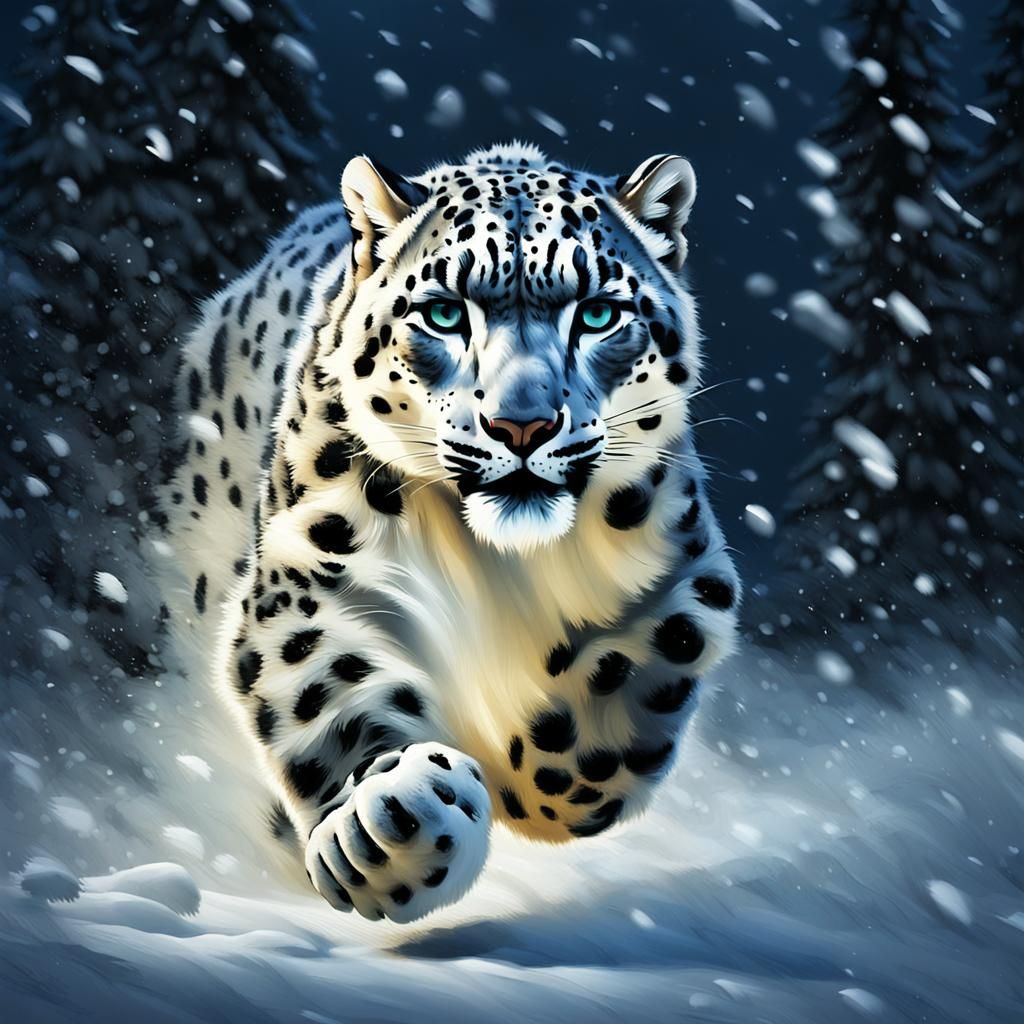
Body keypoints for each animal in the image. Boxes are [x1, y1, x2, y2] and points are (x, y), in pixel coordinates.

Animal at [161, 141, 740, 924]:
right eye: (443, 313)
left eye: (596, 313)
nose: (522, 425)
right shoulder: (306, 577)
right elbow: (331, 693)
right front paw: (393, 824)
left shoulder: (684, 583)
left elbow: (607, 723)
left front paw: (519, 781)